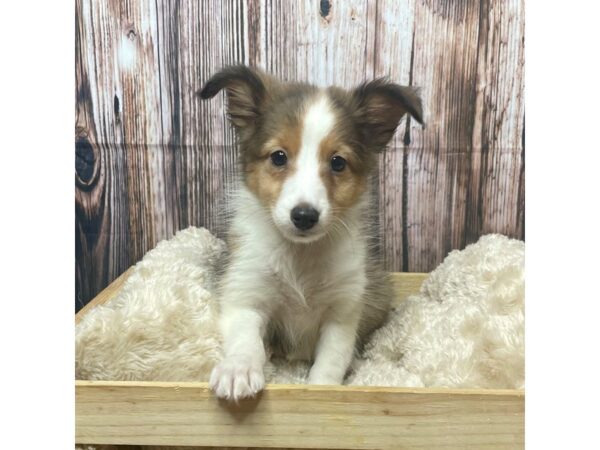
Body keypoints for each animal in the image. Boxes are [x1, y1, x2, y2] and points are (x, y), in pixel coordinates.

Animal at [198, 65, 422, 400]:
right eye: (278, 156)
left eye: (338, 162)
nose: (304, 216)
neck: (300, 256)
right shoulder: (245, 296)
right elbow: (246, 342)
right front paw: (238, 371)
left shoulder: (342, 312)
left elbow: (330, 362)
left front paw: (321, 390)